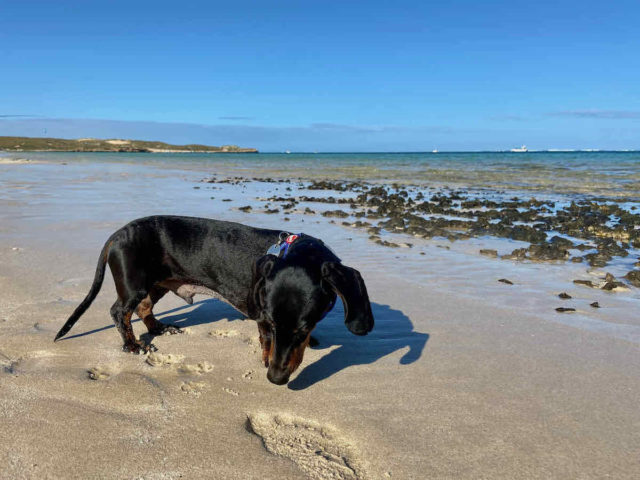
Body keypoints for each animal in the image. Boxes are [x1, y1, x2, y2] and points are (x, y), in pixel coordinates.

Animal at [57, 216, 376, 384]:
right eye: (273, 323)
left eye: (303, 328)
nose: (275, 378)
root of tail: (118, 233)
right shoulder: (262, 316)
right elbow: (266, 340)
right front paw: (266, 357)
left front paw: (312, 341)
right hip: (134, 286)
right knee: (119, 312)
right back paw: (132, 345)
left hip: (158, 283)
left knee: (144, 308)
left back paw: (160, 328)